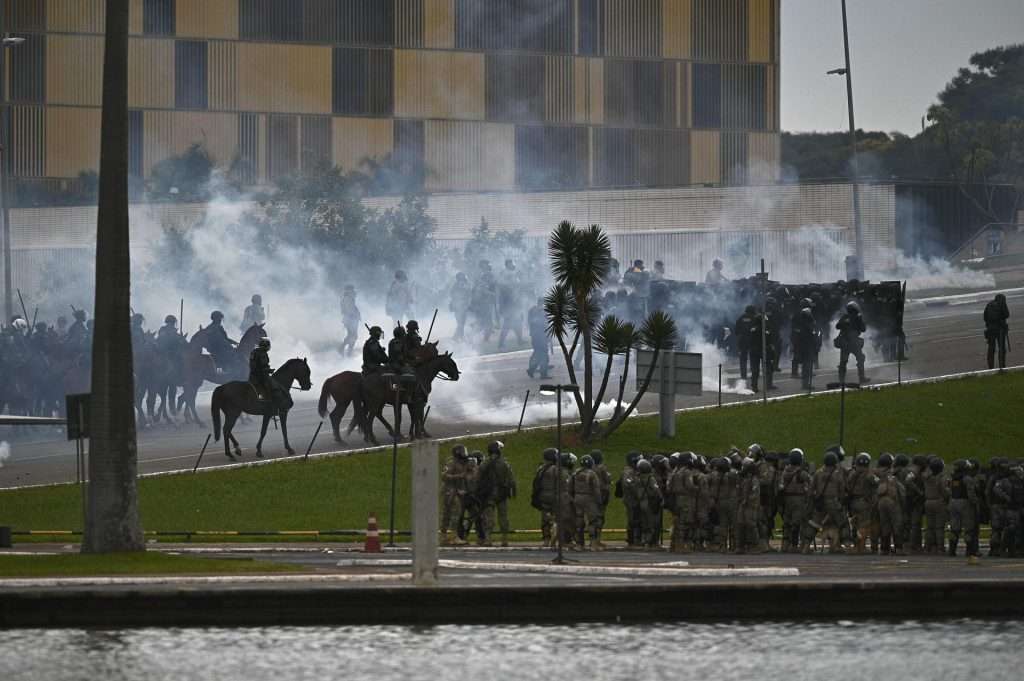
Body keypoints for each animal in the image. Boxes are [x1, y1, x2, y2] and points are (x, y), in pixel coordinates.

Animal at [315, 342, 460, 444]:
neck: (420, 374)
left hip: (367, 403)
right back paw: (363, 439)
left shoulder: (407, 403)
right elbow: (417, 416)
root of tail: (331, 378)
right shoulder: (417, 401)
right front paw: (418, 434)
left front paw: (413, 434)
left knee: (363, 417)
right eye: (451, 363)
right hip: (352, 403)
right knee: (345, 417)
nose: (456, 376)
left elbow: (411, 417)